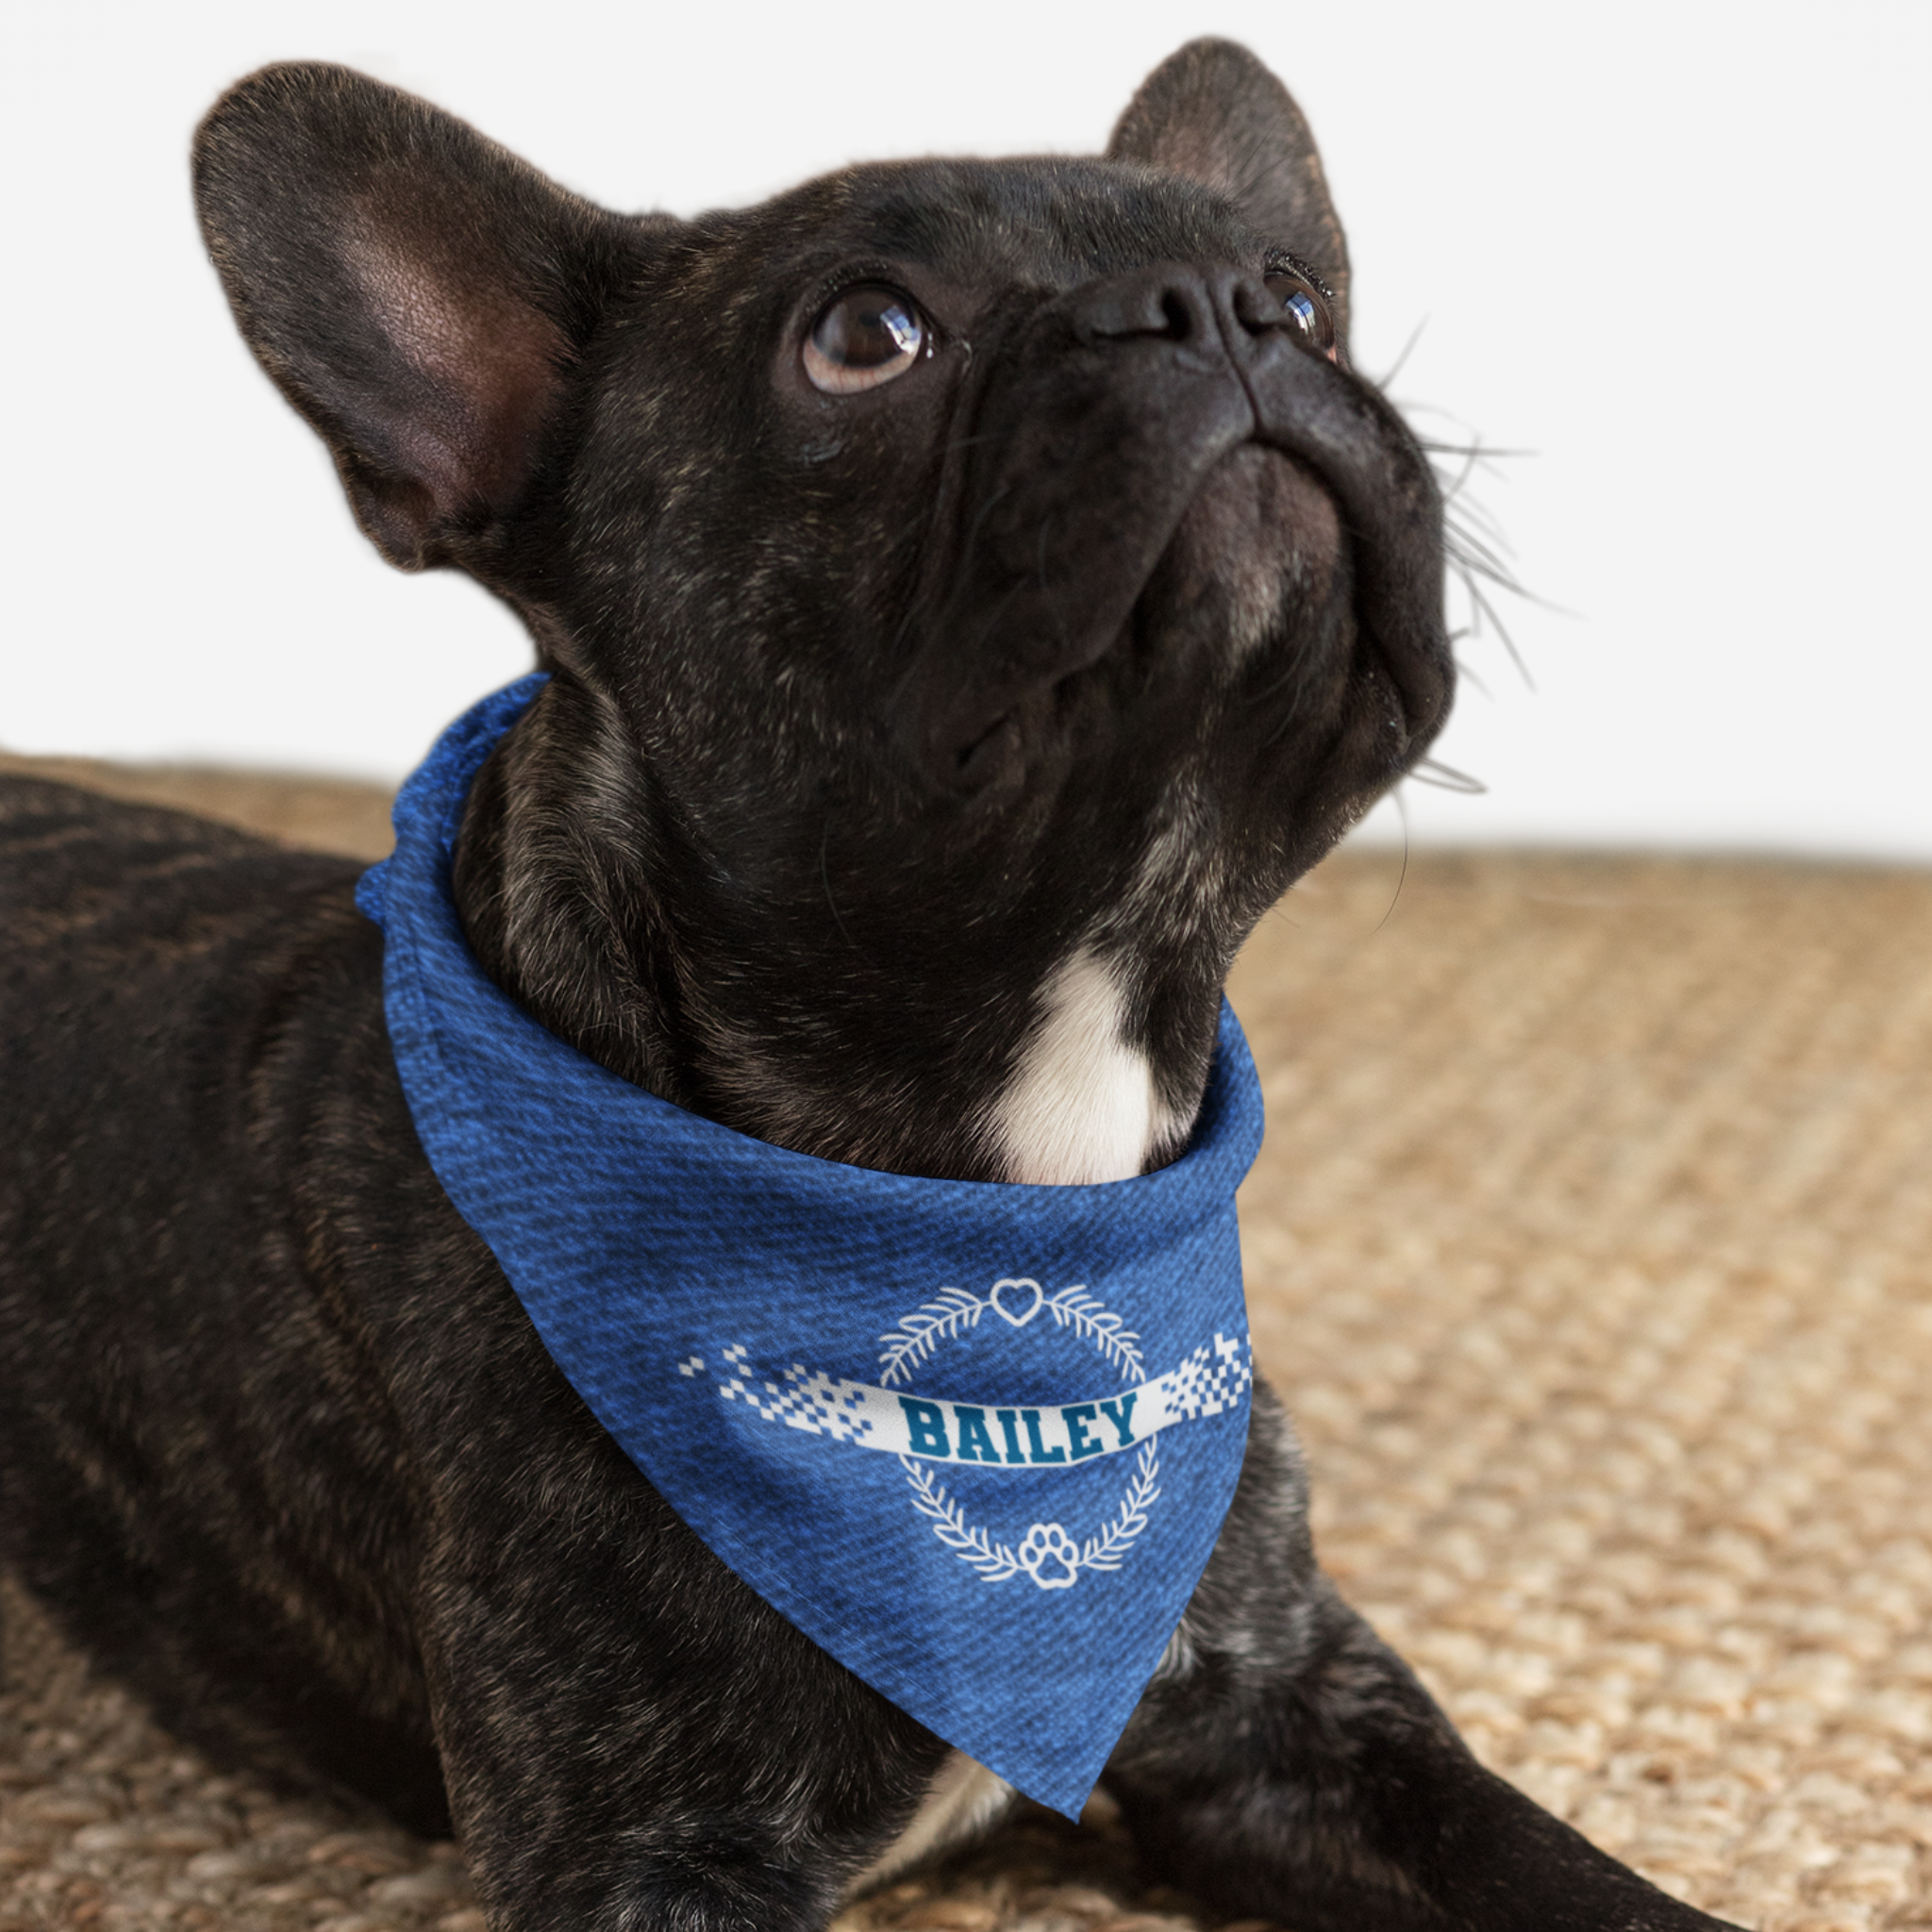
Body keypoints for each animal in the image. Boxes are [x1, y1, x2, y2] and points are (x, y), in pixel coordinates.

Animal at [0, 34, 1746, 1932]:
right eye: (864, 335)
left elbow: (1578, 1879)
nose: (1217, 309)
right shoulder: (651, 1861)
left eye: (1298, 296)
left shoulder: (1298, 1717)